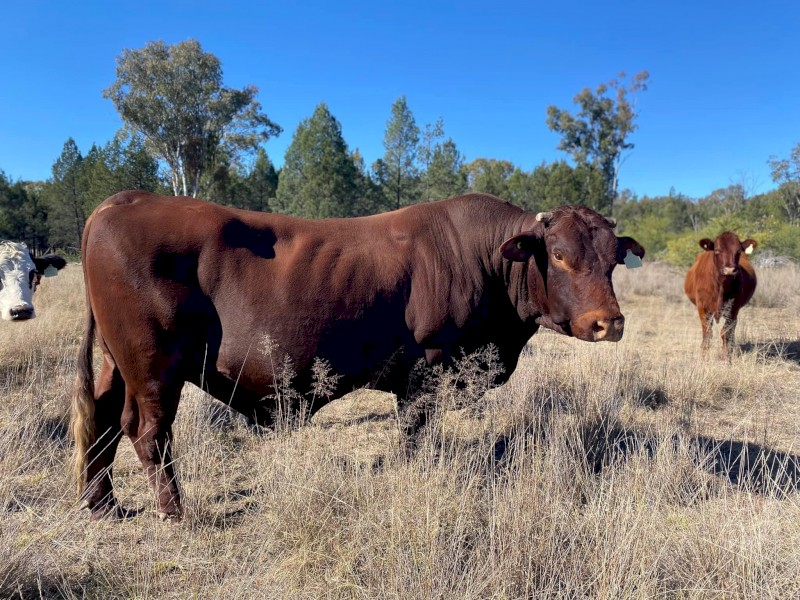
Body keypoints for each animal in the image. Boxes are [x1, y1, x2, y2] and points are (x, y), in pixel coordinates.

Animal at [72, 190, 645, 520]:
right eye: (561, 256)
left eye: (614, 259)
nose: (608, 322)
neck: (481, 259)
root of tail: (122, 200)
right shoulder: (426, 370)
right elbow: (413, 436)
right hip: (153, 363)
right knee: (147, 431)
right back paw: (175, 512)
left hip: (118, 362)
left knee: (101, 416)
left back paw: (102, 504)